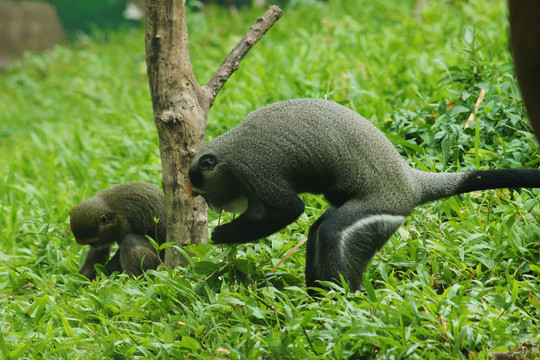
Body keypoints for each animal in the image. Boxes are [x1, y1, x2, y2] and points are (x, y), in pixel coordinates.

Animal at [189, 97, 540, 292]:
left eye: (205, 193)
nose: (213, 206)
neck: (228, 157)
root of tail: (410, 183)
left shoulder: (256, 170)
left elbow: (289, 209)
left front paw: (221, 235)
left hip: (379, 208)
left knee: (334, 232)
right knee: (319, 230)